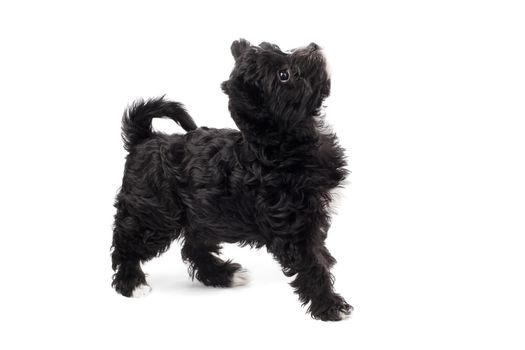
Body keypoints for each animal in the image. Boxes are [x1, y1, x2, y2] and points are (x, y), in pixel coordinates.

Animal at [110, 39, 352, 322]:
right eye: (284, 75)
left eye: (281, 49)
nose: (313, 46)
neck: (280, 143)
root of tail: (145, 138)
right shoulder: (294, 229)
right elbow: (312, 266)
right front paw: (330, 305)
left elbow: (320, 252)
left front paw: (329, 263)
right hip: (154, 215)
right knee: (126, 243)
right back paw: (131, 282)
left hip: (203, 216)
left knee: (193, 247)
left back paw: (224, 275)